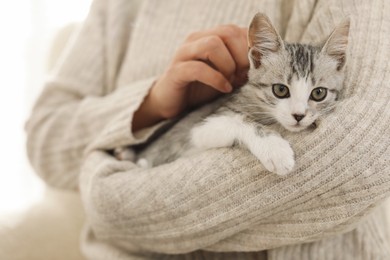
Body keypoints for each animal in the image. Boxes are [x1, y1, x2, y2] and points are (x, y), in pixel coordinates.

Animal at [116, 11, 350, 175]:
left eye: (318, 93)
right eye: (280, 90)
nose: (299, 115)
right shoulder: (198, 129)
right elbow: (240, 121)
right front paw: (275, 149)